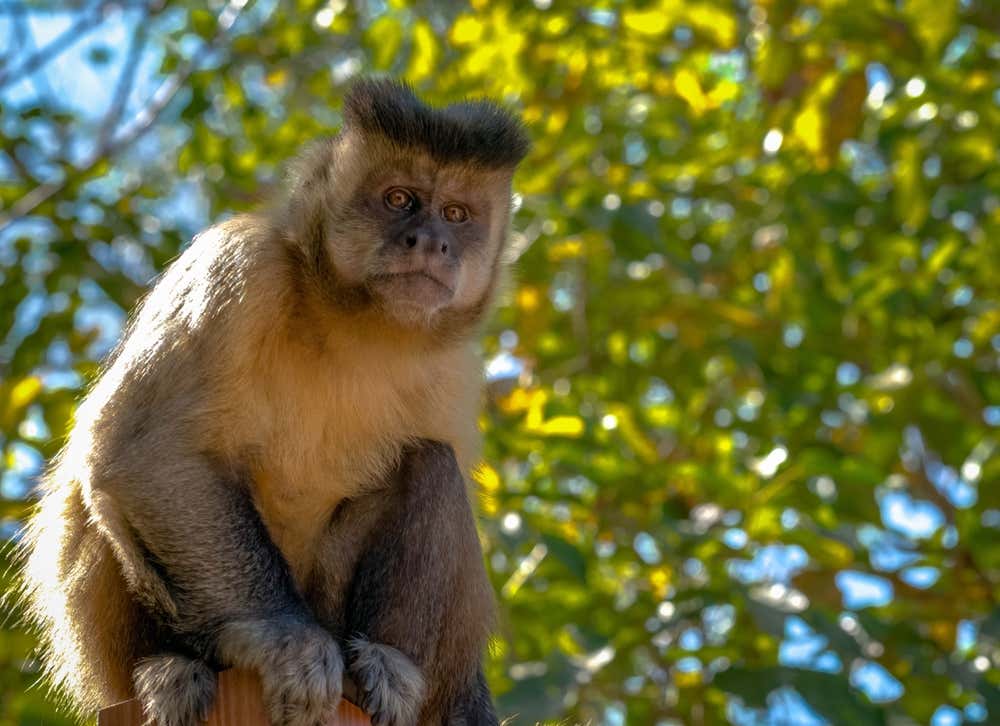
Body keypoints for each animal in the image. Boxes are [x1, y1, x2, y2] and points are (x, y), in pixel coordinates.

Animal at [18, 78, 529, 726]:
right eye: (399, 199)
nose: (432, 241)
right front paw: (284, 640)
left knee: (431, 460)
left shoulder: (457, 367)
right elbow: (148, 454)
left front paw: (450, 696)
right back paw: (172, 668)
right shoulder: (238, 262)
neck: (353, 325)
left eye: (457, 214)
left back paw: (384, 664)